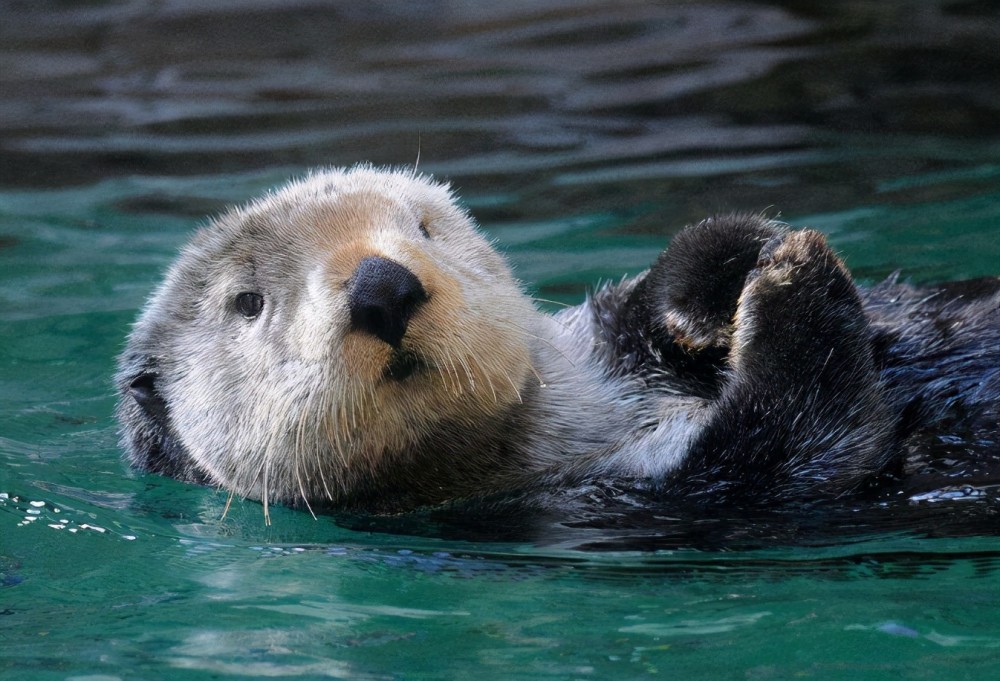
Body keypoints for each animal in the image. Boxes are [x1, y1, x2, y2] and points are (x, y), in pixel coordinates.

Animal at [117, 166, 1000, 516]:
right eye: (247, 301)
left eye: (423, 228)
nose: (382, 286)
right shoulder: (623, 500)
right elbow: (804, 445)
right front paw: (791, 283)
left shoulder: (605, 339)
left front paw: (721, 278)